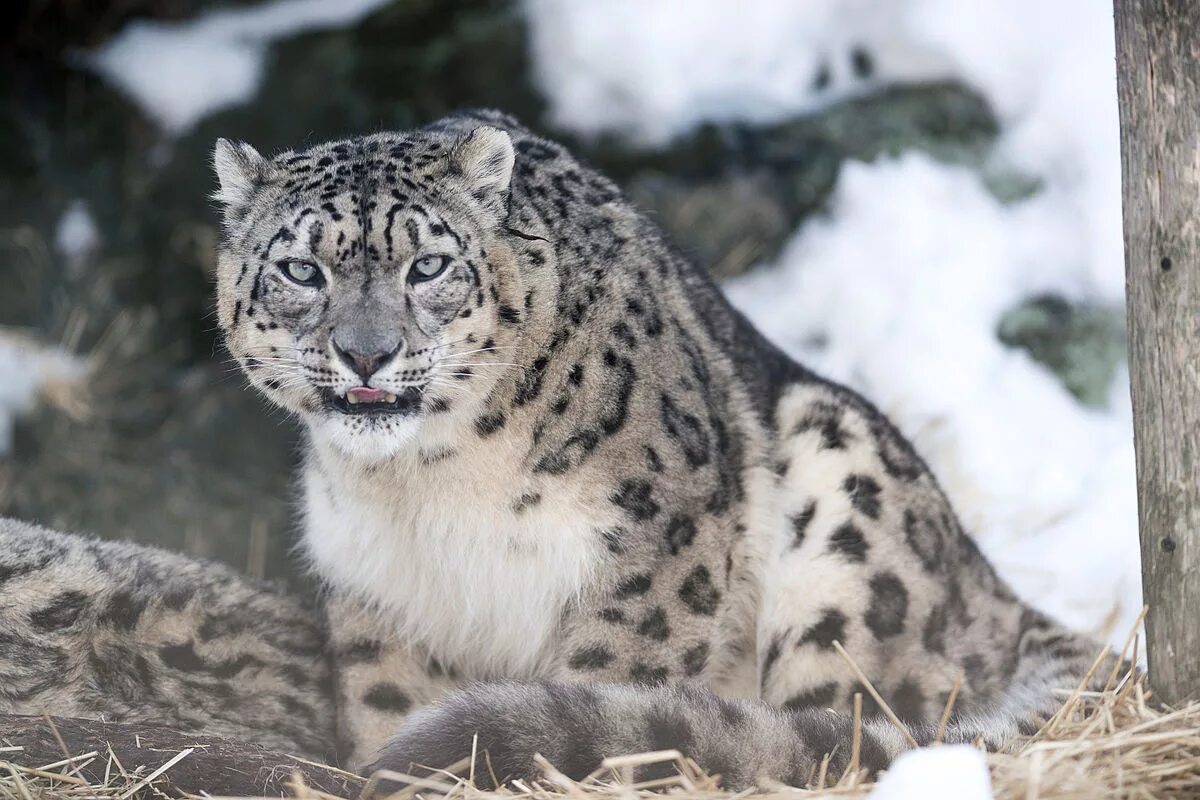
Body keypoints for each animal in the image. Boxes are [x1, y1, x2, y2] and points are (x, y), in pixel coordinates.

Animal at [0, 110, 1113, 786]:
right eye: (304, 269)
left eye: (429, 264)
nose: (367, 351)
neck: (430, 485)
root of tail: (997, 589)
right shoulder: (379, 588)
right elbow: (390, 701)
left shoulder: (655, 543)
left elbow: (614, 669)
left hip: (846, 515)